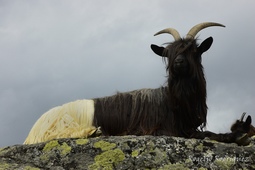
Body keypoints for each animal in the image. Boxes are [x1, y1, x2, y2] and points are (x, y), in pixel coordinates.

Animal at [23, 21, 251, 145]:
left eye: (193, 50)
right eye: (169, 54)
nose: (178, 62)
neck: (173, 100)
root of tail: (33, 131)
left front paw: (241, 131)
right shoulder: (165, 129)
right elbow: (205, 134)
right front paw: (238, 134)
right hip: (62, 127)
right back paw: (95, 131)